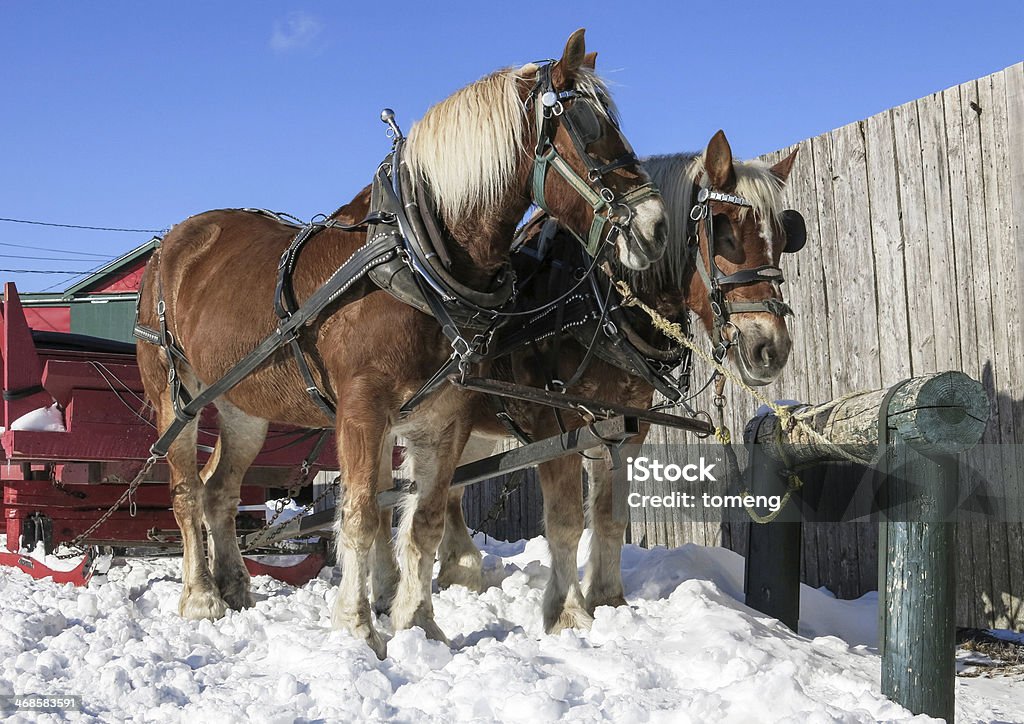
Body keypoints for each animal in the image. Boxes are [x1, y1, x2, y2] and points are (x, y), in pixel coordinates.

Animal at [136, 31, 667, 659]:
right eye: (586, 126)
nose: (656, 227)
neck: (417, 260)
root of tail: (173, 242)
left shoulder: (445, 415)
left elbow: (425, 520)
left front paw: (419, 626)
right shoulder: (364, 408)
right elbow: (363, 514)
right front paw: (358, 627)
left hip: (244, 406)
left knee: (221, 491)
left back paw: (237, 586)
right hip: (177, 394)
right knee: (186, 491)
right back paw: (201, 596)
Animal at [430, 132, 798, 634]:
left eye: (783, 237)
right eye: (722, 229)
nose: (770, 348)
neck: (598, 303)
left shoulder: (625, 425)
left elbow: (610, 515)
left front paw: (608, 601)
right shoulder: (556, 424)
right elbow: (566, 520)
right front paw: (567, 613)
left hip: (476, 430)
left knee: (450, 488)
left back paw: (459, 570)